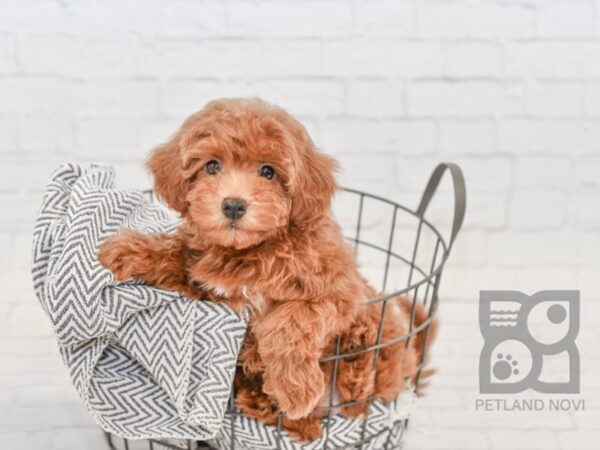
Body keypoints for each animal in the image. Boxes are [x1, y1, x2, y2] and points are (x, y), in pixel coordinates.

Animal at [99, 97, 436, 440]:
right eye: (211, 166)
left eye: (268, 171)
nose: (233, 205)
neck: (251, 251)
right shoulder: (208, 285)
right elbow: (177, 256)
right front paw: (129, 250)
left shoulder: (336, 288)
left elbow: (292, 320)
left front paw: (295, 388)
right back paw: (282, 408)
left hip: (383, 336)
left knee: (367, 386)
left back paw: (356, 346)